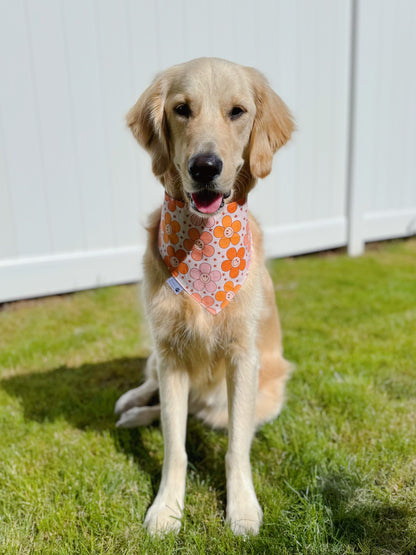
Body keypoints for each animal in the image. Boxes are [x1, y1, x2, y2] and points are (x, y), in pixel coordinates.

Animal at [115, 55, 294, 536]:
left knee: (201, 415)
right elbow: (174, 447)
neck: (202, 243)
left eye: (237, 111)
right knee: (154, 390)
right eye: (182, 109)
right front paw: (167, 509)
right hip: (158, 355)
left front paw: (243, 507)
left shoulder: (243, 358)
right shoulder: (171, 354)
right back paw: (131, 404)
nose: (205, 167)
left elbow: (236, 446)